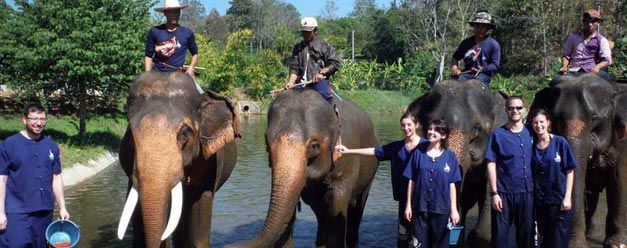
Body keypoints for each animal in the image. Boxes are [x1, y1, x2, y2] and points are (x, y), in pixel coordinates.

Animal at [228, 89, 380, 248]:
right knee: (320, 211)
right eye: (266, 143)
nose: (228, 245)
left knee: (357, 206)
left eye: (313, 146)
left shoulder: (347, 159)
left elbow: (338, 203)